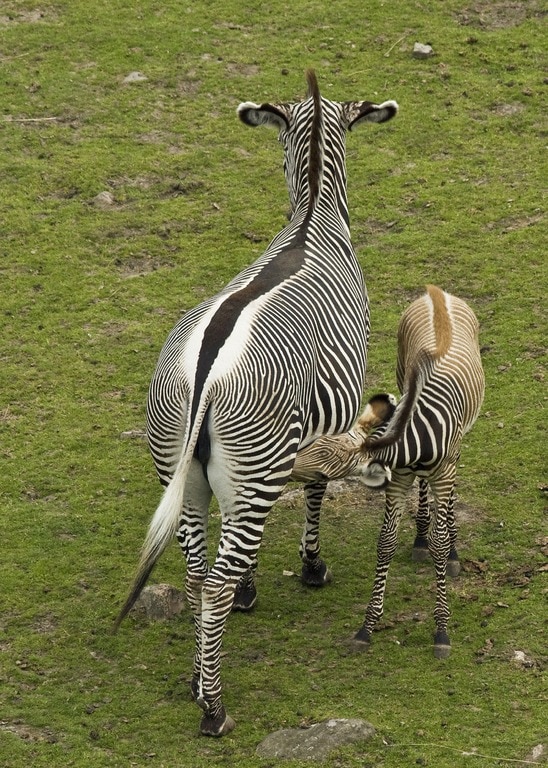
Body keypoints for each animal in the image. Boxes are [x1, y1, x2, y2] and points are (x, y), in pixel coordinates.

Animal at [114, 73, 398, 736]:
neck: (313, 215)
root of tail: (202, 376)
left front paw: (251, 585)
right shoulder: (330, 419)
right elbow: (318, 486)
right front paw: (311, 567)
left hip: (182, 470)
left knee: (198, 575)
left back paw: (197, 680)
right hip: (251, 467)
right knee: (212, 581)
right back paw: (214, 709)